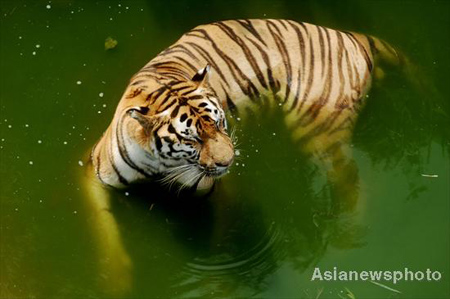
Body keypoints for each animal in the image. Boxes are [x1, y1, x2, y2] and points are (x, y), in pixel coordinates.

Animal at [82, 19, 402, 296]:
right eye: (192, 139)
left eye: (220, 121)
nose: (229, 162)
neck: (161, 163)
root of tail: (351, 36)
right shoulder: (94, 173)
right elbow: (103, 227)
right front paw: (116, 279)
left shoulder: (213, 189)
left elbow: (219, 239)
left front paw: (217, 278)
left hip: (317, 129)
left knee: (353, 184)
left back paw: (346, 239)